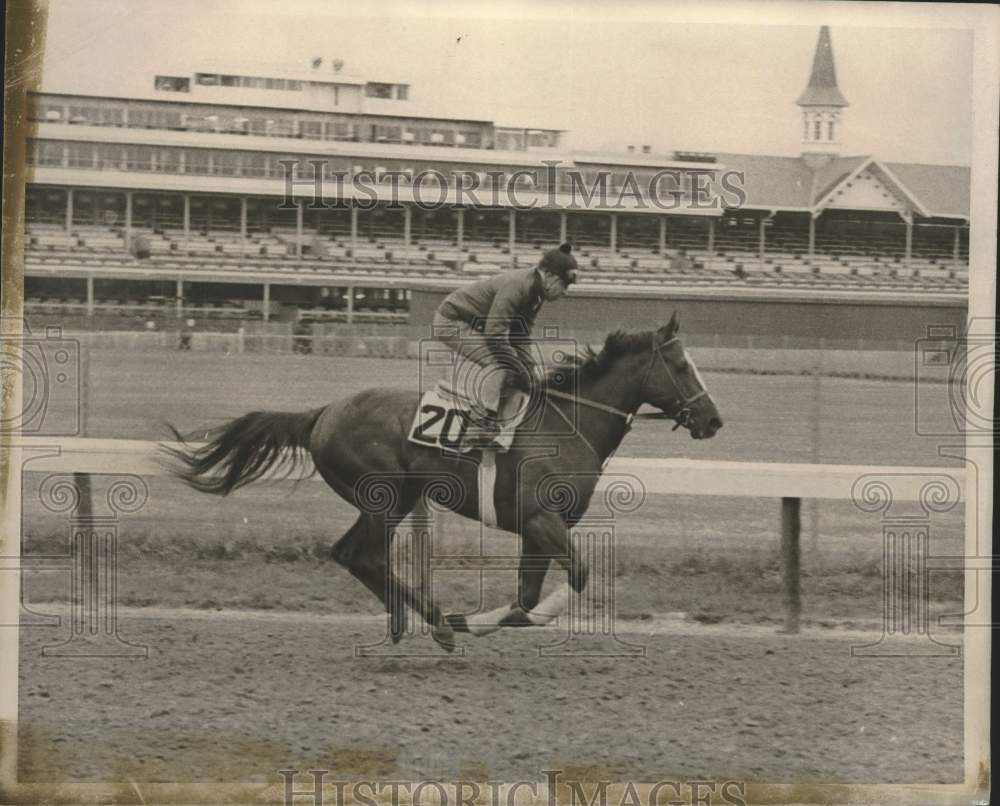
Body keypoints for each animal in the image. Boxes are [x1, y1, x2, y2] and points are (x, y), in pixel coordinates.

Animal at [168, 312, 724, 652]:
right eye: (680, 365)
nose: (714, 420)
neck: (569, 423)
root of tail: (321, 412)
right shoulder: (541, 521)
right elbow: (577, 578)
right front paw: (469, 621)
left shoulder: (539, 529)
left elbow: (526, 599)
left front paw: (484, 620)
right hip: (385, 495)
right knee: (359, 554)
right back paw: (433, 621)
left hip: (399, 497)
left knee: (356, 555)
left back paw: (414, 621)